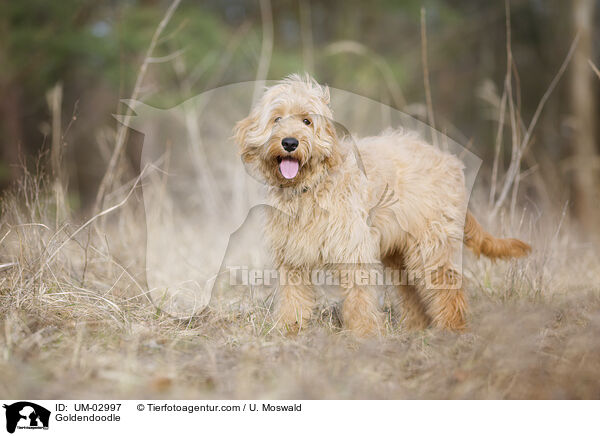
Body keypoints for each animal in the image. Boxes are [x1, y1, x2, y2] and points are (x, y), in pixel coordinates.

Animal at [234, 73, 528, 336]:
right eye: (277, 119)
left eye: (307, 121)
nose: (290, 142)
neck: (311, 186)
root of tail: (449, 161)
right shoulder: (292, 257)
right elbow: (292, 298)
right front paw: (288, 329)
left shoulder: (353, 252)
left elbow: (360, 299)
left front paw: (364, 335)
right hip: (401, 255)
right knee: (412, 294)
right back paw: (416, 330)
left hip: (431, 246)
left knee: (447, 287)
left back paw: (452, 329)